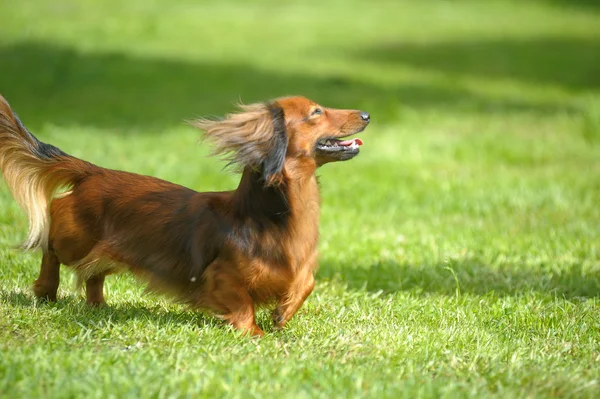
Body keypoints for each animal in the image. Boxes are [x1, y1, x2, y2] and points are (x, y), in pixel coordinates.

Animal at [0, 95, 368, 336]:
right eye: (316, 112)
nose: (365, 114)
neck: (268, 216)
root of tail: (95, 172)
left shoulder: (300, 265)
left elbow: (306, 281)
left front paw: (283, 313)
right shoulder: (220, 276)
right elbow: (243, 305)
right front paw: (255, 333)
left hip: (107, 248)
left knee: (94, 274)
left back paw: (98, 306)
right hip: (75, 237)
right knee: (51, 241)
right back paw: (46, 290)